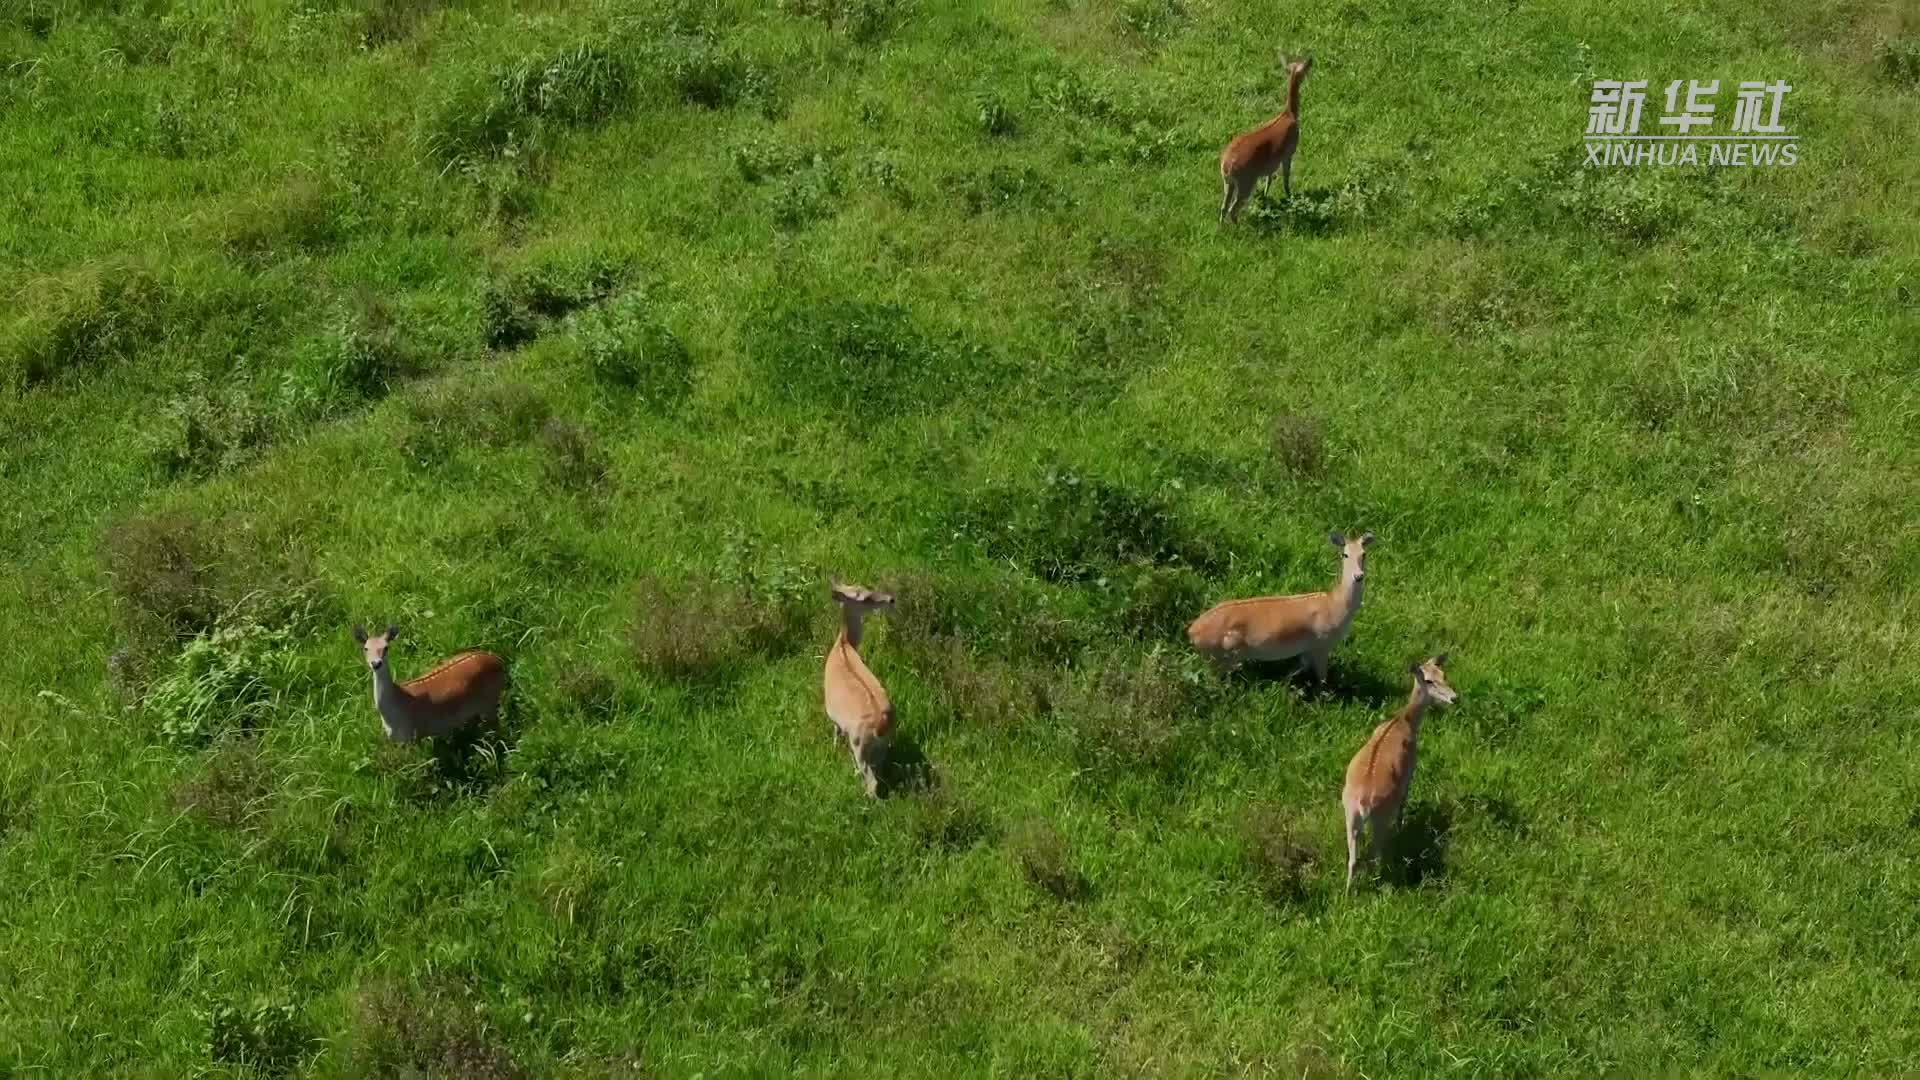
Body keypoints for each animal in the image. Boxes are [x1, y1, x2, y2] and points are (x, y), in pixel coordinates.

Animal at [352, 623, 507, 743]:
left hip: (490, 701)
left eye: (386, 647)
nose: (376, 663)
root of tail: (499, 661)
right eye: (365, 648)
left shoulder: (411, 736)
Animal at [822, 581, 897, 799]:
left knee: (871, 781)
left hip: (859, 744)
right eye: (865, 596)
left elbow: (835, 730)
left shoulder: (831, 712)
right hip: (882, 746)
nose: (891, 599)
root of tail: (882, 725)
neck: (843, 644)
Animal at [1186, 529, 1372, 682]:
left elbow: (1299, 668)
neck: (1336, 606)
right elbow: (1322, 679)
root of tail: (1191, 632)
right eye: (1344, 554)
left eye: (1364, 554)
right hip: (1222, 654)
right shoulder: (1321, 644)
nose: (1358, 576)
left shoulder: (1307, 649)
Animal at [1219, 53, 1315, 224]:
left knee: (1224, 208)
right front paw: (1289, 196)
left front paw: (1265, 196)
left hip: (1228, 182)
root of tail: (1226, 166)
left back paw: (1222, 227)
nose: (1311, 62)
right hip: (1246, 181)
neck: (1289, 115)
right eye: (1303, 69)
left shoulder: (1271, 162)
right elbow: (1286, 179)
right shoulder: (1289, 152)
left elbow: (1269, 179)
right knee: (1232, 209)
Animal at [1342, 654, 1457, 890]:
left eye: (1444, 674)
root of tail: (1363, 804)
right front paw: (1402, 824)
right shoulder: (1410, 769)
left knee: (1353, 859)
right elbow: (1405, 800)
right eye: (1429, 680)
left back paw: (1347, 892)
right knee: (1374, 854)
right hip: (1380, 818)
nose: (1454, 698)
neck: (1404, 722)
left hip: (1349, 815)